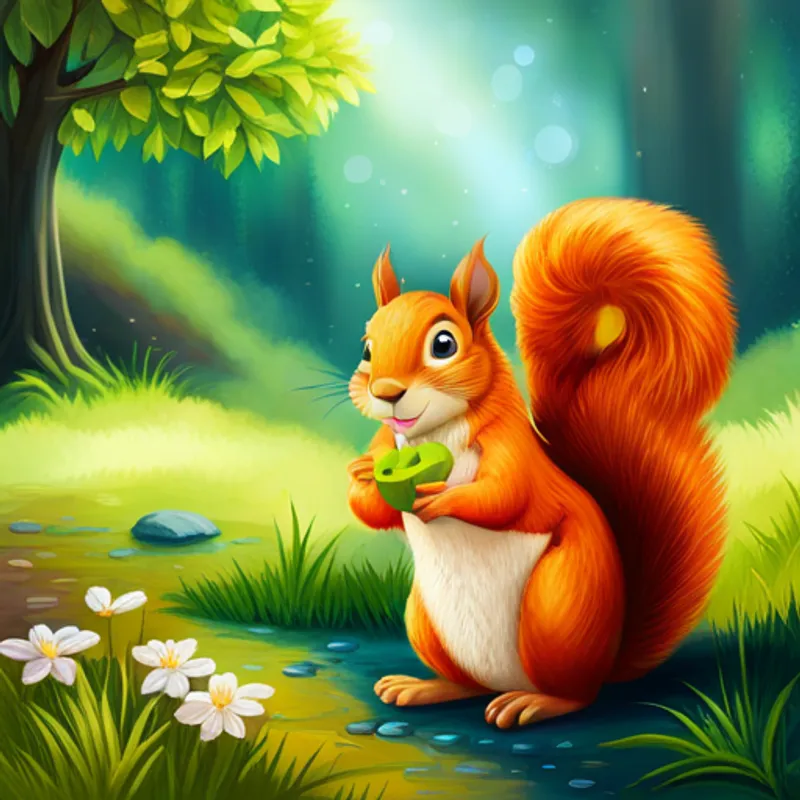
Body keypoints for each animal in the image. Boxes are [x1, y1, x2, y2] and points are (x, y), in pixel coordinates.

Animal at [347, 197, 735, 728]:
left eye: (444, 344)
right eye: (367, 347)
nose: (386, 392)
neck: (431, 434)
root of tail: (609, 659)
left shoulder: (513, 451)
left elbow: (505, 497)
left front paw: (440, 499)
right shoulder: (387, 440)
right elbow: (375, 511)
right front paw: (362, 476)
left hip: (555, 607)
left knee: (576, 695)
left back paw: (533, 704)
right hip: (425, 620)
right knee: (467, 684)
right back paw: (423, 687)